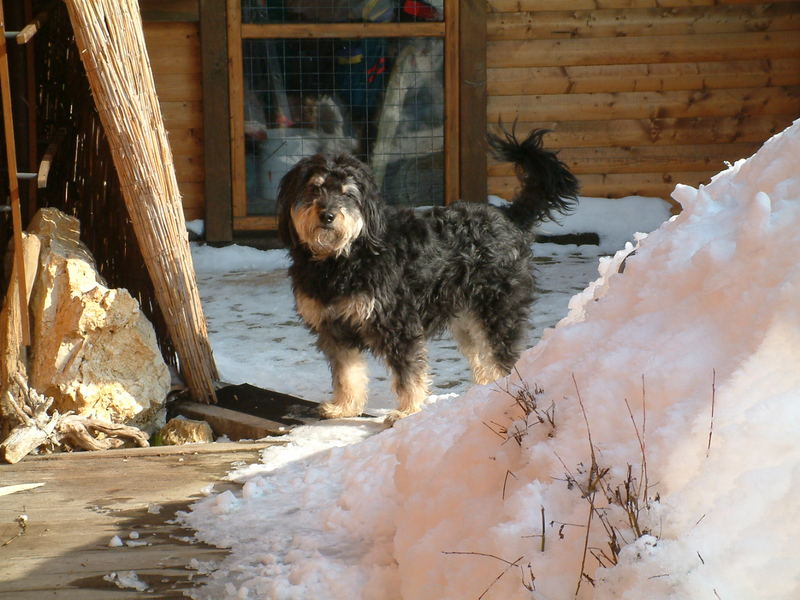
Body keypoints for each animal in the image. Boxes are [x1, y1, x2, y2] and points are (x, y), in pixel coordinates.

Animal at [278, 129, 580, 424]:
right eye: (314, 188)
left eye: (347, 194)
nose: (328, 215)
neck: (344, 256)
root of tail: (509, 216)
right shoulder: (334, 330)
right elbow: (347, 374)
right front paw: (344, 407)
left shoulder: (398, 324)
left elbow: (408, 374)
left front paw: (407, 412)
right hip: (467, 320)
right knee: (483, 358)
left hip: (497, 311)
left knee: (501, 356)